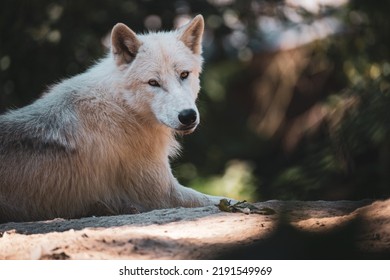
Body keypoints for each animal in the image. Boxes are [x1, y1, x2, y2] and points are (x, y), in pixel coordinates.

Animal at [0, 15, 224, 222]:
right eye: (153, 83)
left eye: (184, 74)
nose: (188, 116)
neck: (123, 107)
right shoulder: (164, 193)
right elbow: (219, 200)